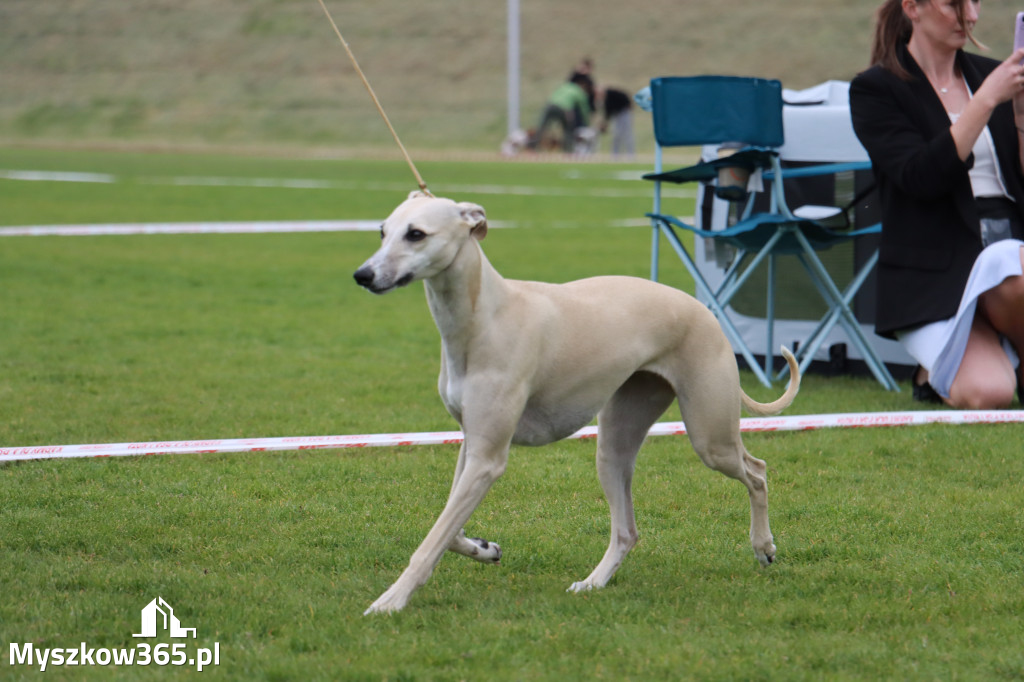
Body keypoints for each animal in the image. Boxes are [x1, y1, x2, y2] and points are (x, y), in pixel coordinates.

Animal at [354, 189, 798, 610]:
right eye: (382, 231)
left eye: (416, 234)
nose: (363, 275)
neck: (485, 315)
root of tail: (704, 311)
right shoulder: (472, 443)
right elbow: (449, 527)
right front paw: (483, 548)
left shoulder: (488, 458)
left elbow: (431, 540)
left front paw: (390, 601)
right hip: (616, 441)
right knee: (626, 530)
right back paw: (594, 582)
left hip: (710, 436)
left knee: (756, 471)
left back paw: (763, 546)